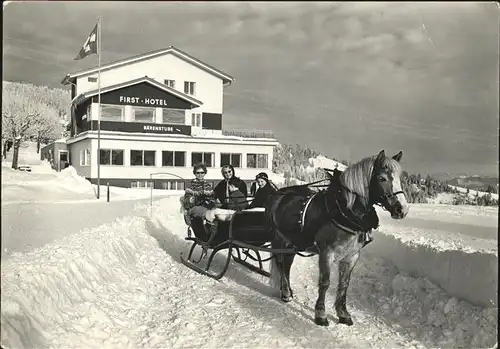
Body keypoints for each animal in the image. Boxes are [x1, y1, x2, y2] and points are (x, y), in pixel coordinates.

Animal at [268, 150, 408, 326]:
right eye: (382, 178)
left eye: (400, 178)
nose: (401, 209)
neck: (345, 212)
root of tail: (280, 193)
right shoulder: (326, 253)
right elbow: (325, 283)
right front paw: (320, 314)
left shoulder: (351, 256)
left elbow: (344, 284)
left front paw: (343, 313)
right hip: (280, 239)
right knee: (280, 263)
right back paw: (286, 293)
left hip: (292, 243)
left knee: (287, 265)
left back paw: (287, 291)